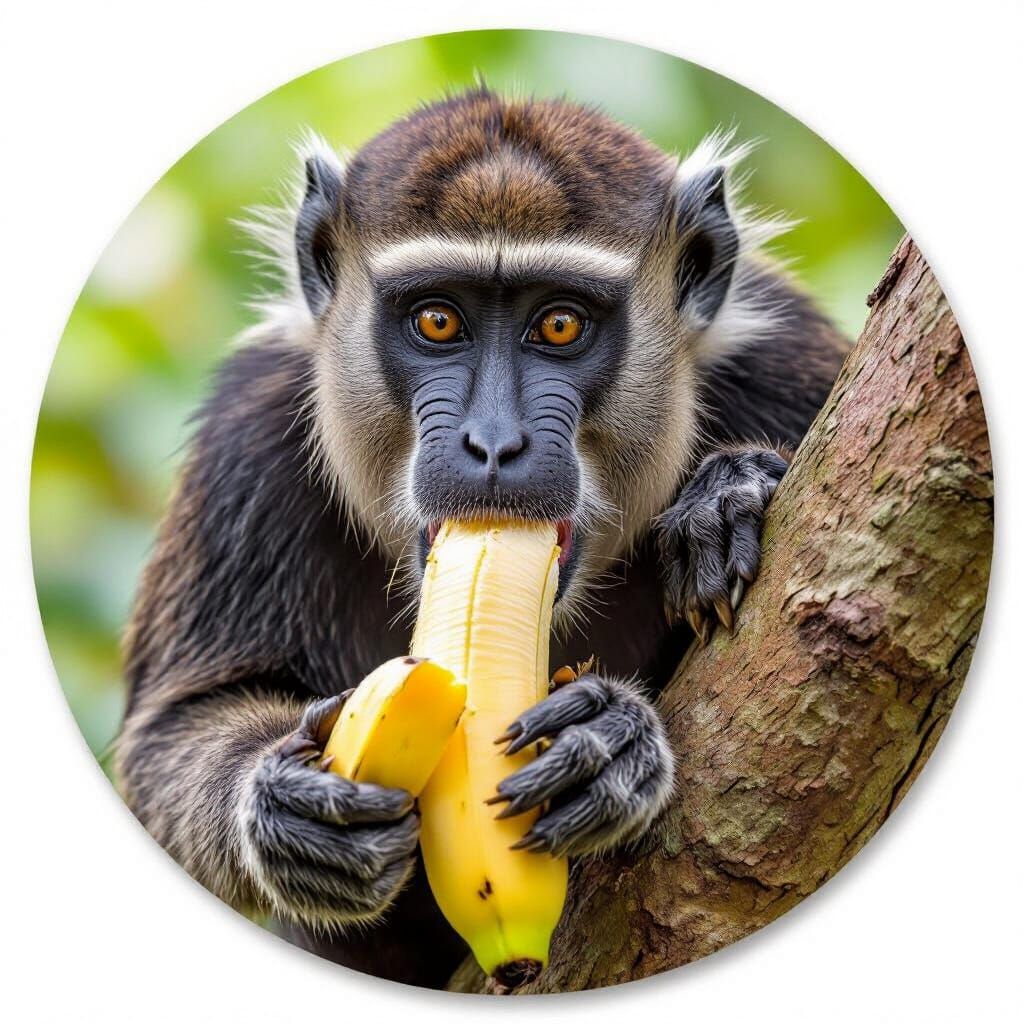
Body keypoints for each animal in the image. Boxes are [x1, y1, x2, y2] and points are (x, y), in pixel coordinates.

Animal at [115, 87, 849, 989]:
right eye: (438, 320)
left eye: (560, 325)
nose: (494, 443)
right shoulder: (246, 438)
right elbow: (172, 729)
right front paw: (284, 806)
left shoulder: (791, 363)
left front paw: (732, 496)